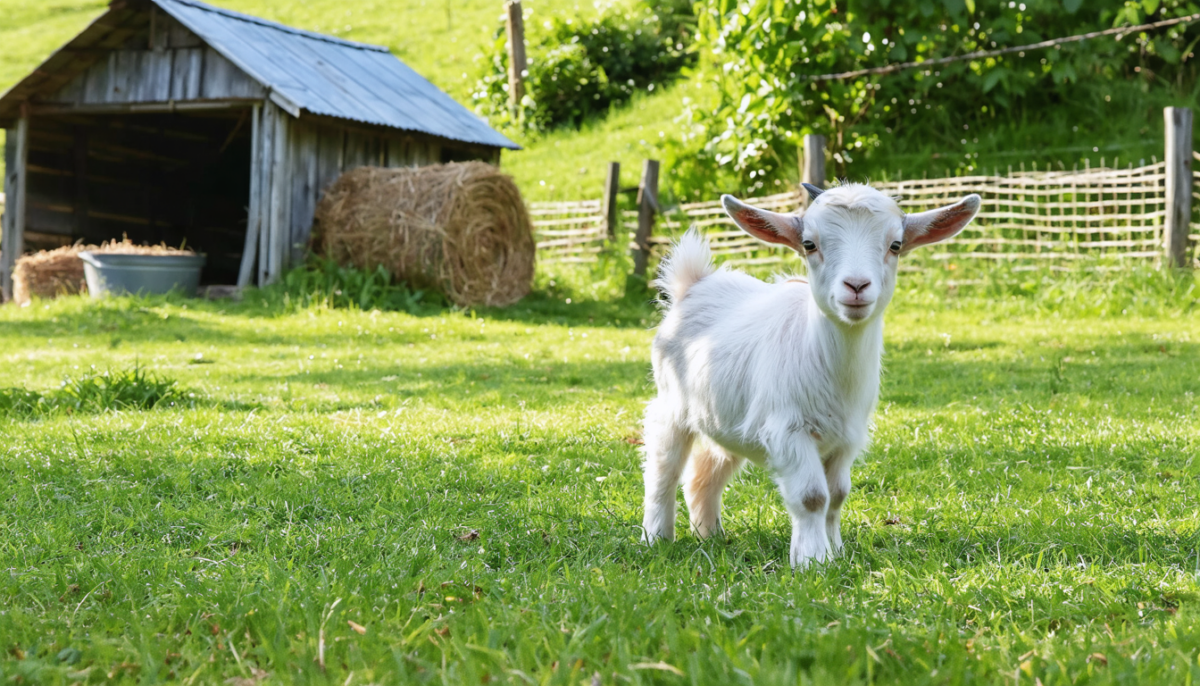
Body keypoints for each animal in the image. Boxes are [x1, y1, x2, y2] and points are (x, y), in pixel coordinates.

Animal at [641, 183, 981, 567]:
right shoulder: (788, 431)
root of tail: (693, 285)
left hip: (724, 417)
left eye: (895, 245)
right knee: (663, 469)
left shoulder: (847, 440)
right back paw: (657, 538)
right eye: (809, 244)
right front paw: (812, 561)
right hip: (671, 403)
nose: (856, 286)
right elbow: (812, 496)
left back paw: (710, 535)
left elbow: (837, 495)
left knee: (704, 473)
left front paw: (837, 552)